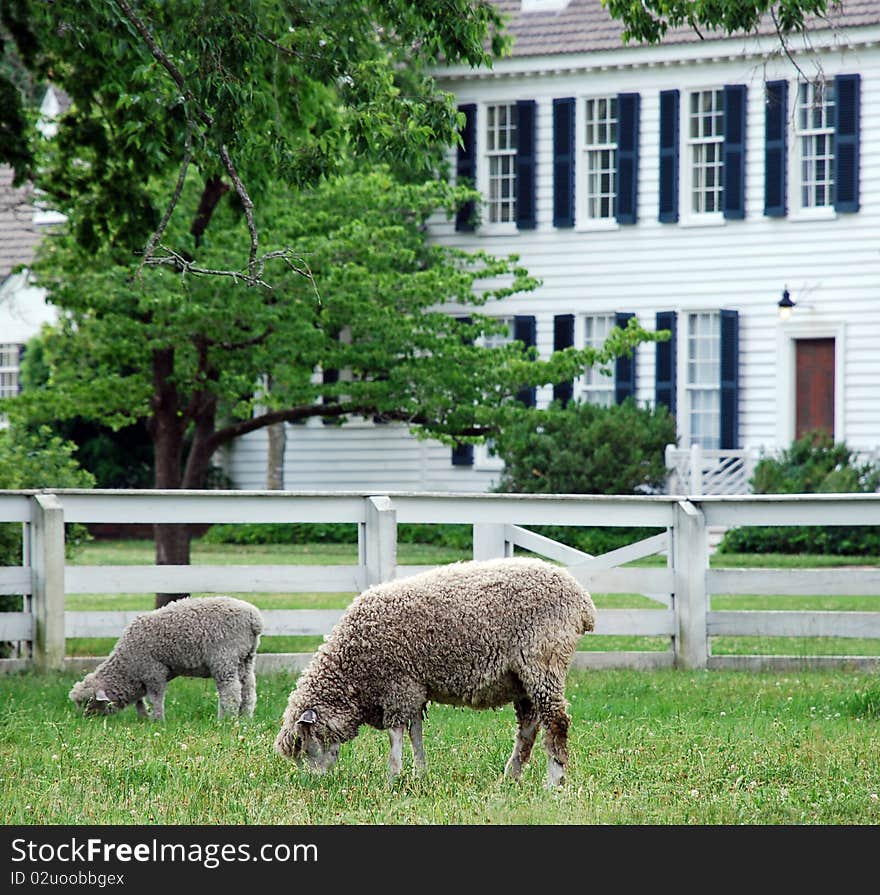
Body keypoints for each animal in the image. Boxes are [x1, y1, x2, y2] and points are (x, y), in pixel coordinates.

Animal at [69, 596, 262, 720]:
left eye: (88, 702)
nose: (86, 720)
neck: (126, 667)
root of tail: (254, 618)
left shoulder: (153, 672)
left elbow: (155, 698)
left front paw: (157, 720)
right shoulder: (141, 678)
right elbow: (140, 701)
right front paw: (143, 718)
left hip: (225, 658)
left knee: (230, 691)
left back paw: (225, 719)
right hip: (246, 658)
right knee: (248, 690)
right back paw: (245, 717)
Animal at [272, 556, 596, 788]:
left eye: (304, 745)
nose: (314, 783)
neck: (353, 669)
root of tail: (583, 601)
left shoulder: (398, 685)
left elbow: (396, 736)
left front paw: (393, 778)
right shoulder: (414, 688)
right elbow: (415, 733)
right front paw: (420, 775)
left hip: (543, 661)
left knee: (556, 722)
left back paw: (554, 783)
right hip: (522, 678)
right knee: (528, 727)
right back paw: (510, 777)